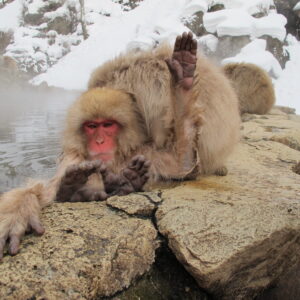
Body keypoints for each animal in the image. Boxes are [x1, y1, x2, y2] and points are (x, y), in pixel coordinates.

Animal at [0, 32, 274, 258]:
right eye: (91, 126)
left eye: (107, 125)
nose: (99, 141)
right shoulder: (73, 157)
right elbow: (45, 192)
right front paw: (19, 211)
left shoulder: (147, 152)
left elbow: (182, 162)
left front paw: (183, 79)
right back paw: (78, 188)